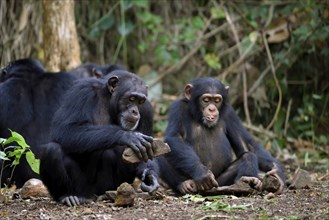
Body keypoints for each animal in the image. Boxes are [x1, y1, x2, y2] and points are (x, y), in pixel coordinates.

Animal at [40, 70, 159, 206]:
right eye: (132, 98)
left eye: (140, 102)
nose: (135, 111)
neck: (109, 102)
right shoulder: (82, 91)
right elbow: (65, 129)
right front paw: (128, 136)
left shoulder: (147, 110)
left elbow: (148, 151)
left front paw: (150, 176)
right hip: (81, 188)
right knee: (51, 150)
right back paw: (67, 196)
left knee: (110, 153)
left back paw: (106, 194)